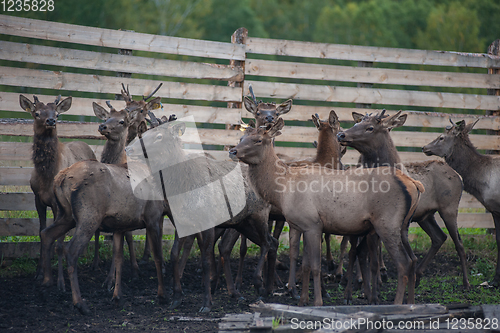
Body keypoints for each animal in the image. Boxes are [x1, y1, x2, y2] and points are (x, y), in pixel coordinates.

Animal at [19, 93, 96, 288]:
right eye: (36, 113)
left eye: (57, 114)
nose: (51, 120)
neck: (46, 176)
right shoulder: (38, 199)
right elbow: (42, 233)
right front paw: (39, 273)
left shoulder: (57, 203)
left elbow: (59, 242)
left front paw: (60, 281)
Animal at [229, 118, 422, 304]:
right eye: (241, 138)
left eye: (258, 140)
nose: (233, 151)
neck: (282, 190)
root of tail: (414, 184)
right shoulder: (298, 224)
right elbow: (304, 263)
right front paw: (302, 300)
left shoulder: (313, 223)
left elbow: (315, 266)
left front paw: (317, 301)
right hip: (402, 226)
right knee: (412, 260)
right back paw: (411, 302)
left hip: (387, 223)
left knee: (403, 263)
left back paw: (397, 304)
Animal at [338, 109, 470, 288]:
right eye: (356, 123)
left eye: (370, 127)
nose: (341, 134)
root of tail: (459, 176)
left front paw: (376, 279)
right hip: (425, 216)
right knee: (439, 237)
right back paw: (418, 275)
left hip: (449, 209)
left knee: (459, 243)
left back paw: (466, 282)